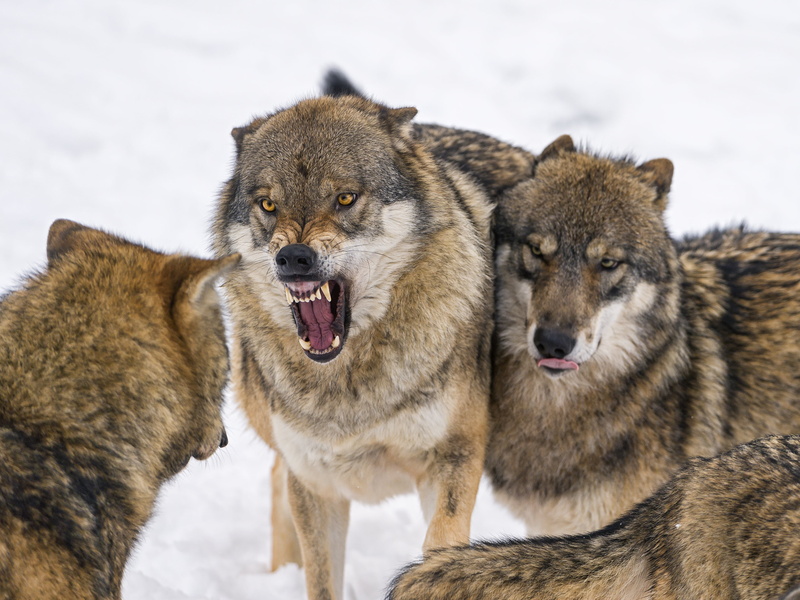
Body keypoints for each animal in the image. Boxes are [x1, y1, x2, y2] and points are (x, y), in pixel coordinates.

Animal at [210, 75, 536, 600]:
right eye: (268, 205)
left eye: (345, 198)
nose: (293, 258)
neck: (351, 386)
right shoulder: (316, 483)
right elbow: (322, 582)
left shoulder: (454, 457)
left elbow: (442, 543)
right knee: (277, 478)